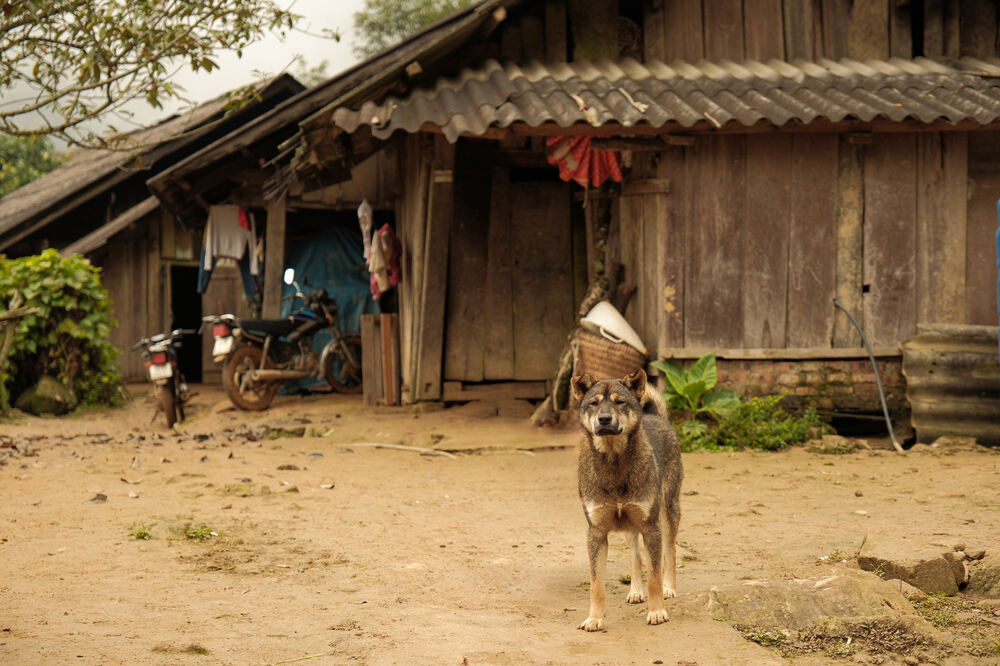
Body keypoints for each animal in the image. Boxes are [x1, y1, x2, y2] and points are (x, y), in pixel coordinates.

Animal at [572, 366, 680, 632]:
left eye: (619, 402)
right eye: (594, 403)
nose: (604, 419)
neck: (614, 462)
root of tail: (657, 416)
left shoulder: (651, 528)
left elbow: (654, 576)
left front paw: (657, 612)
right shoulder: (596, 533)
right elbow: (596, 583)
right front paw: (595, 619)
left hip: (668, 511)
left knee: (670, 551)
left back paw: (670, 588)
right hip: (632, 525)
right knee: (635, 556)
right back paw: (635, 591)